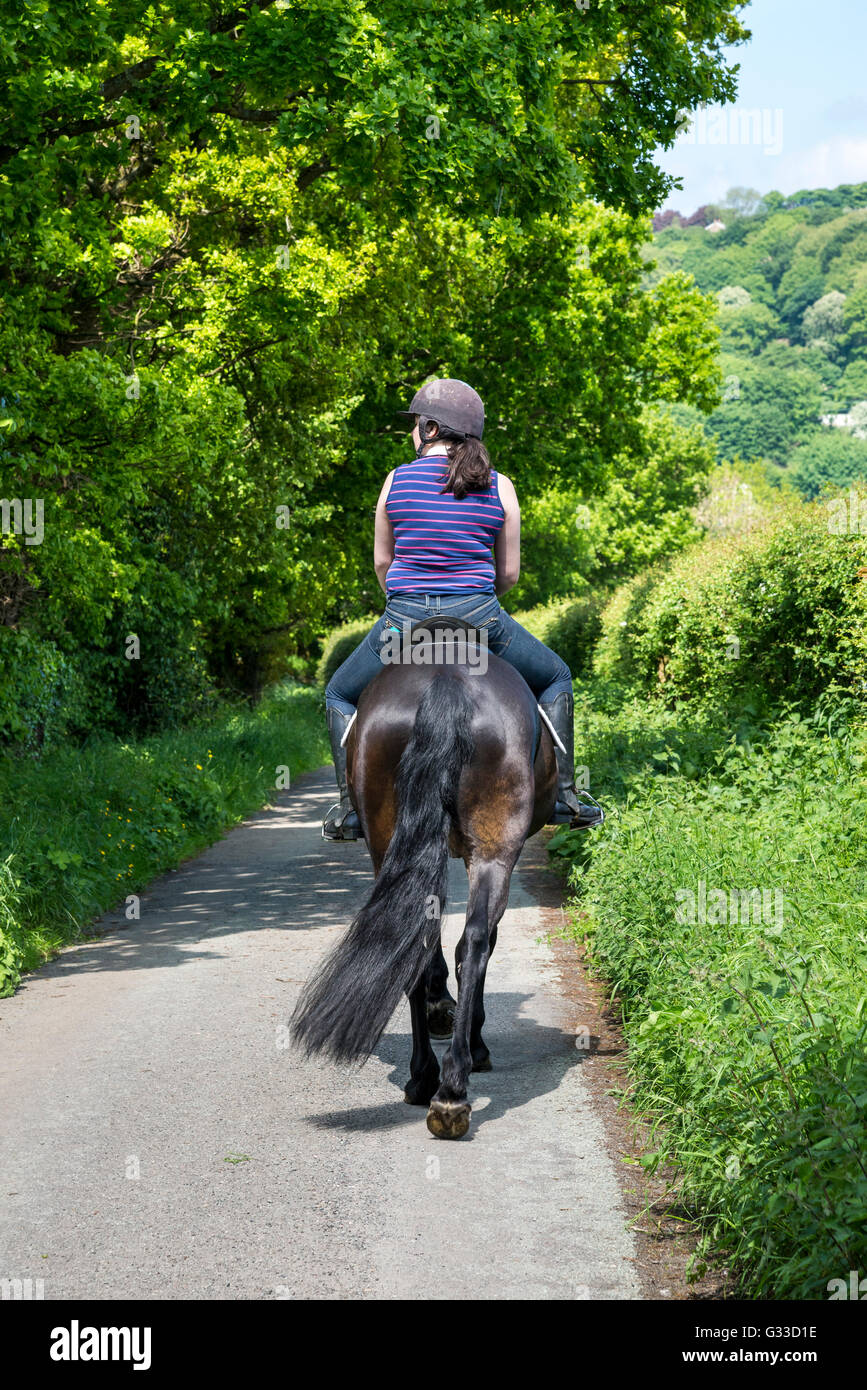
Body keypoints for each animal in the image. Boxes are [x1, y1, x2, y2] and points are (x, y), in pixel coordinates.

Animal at [290, 621, 558, 1139]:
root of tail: (446, 679)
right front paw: (466, 1035)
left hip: (390, 843)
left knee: (418, 942)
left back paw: (432, 1084)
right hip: (496, 848)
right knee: (474, 942)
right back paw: (447, 1086)